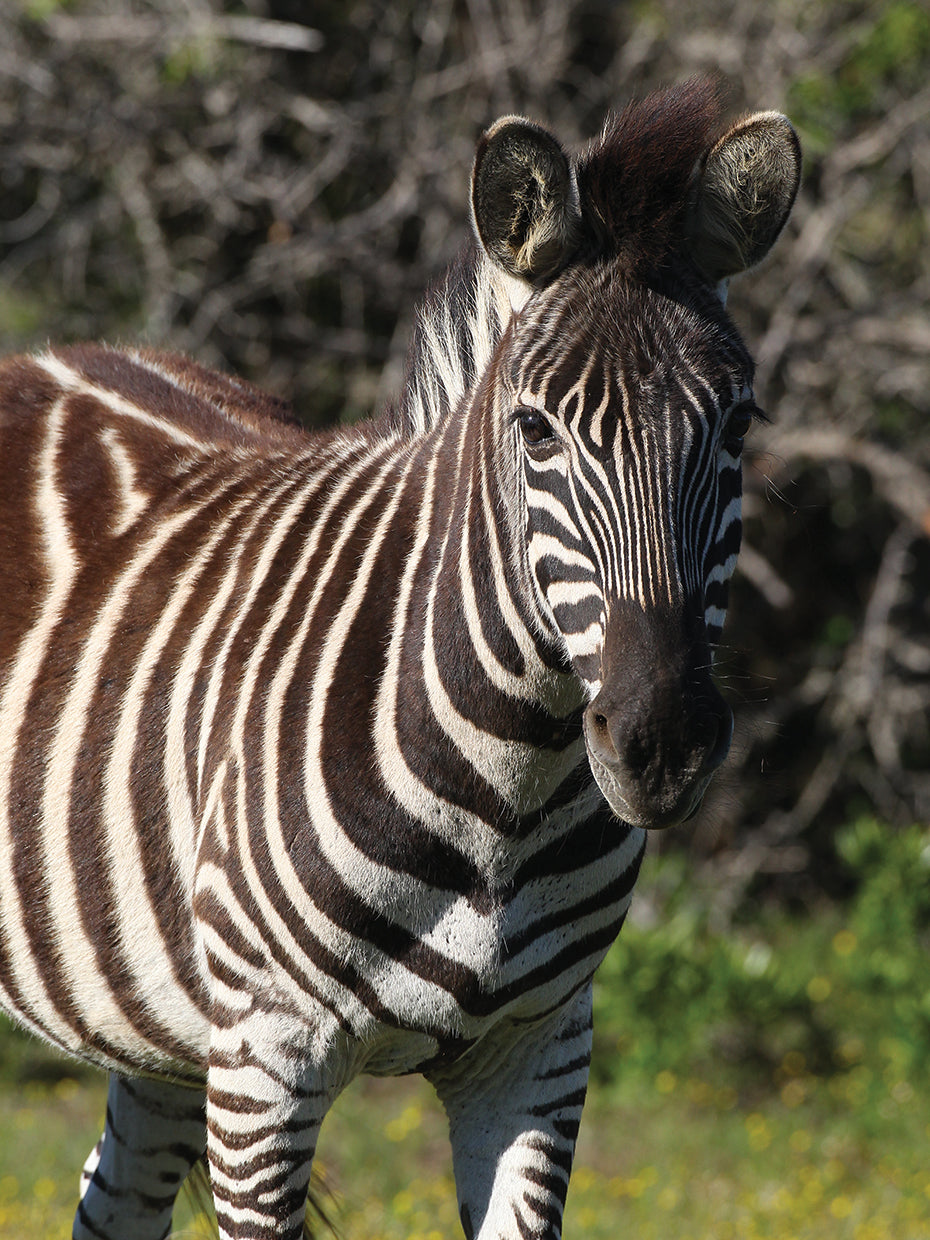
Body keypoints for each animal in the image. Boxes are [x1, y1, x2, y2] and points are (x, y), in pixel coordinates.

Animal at [0, 79, 799, 1240]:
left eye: (737, 426)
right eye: (535, 430)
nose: (661, 744)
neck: (512, 787)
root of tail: (46, 354)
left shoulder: (540, 1052)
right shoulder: (266, 1063)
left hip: (160, 1018)